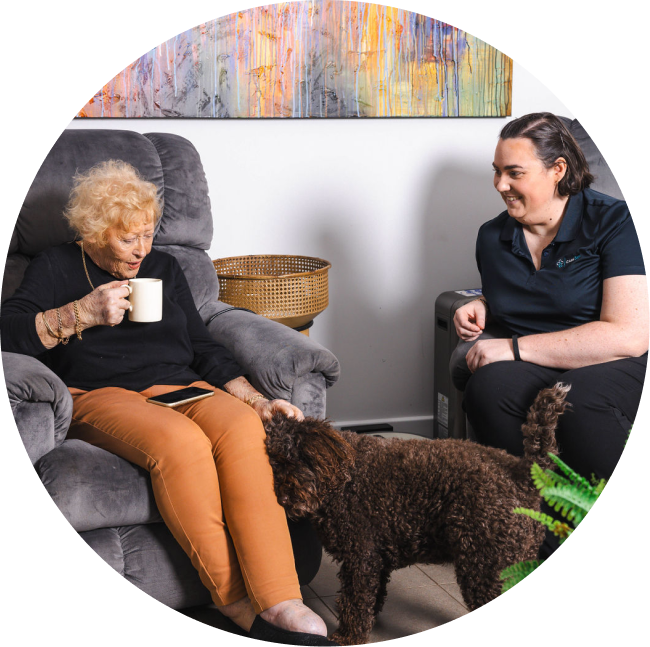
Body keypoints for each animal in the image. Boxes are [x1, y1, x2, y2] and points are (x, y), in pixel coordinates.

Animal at [262, 384, 568, 644]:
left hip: (486, 566)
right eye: (271, 464)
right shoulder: (377, 557)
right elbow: (373, 596)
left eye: (286, 460)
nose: (283, 499)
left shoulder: (360, 557)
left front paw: (348, 636)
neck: (341, 477)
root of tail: (522, 472)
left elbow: (355, 602)